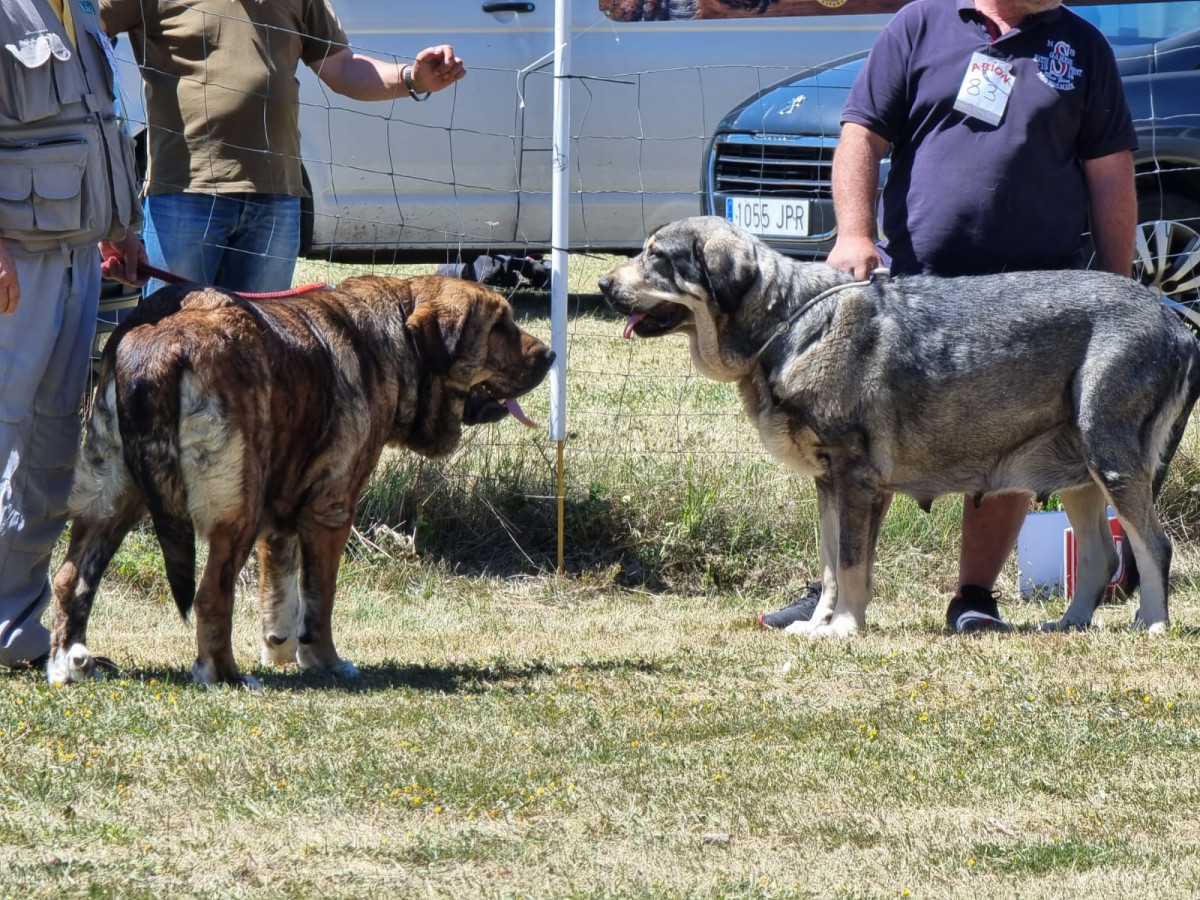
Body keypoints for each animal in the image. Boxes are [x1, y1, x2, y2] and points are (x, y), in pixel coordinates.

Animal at [600, 214, 1200, 638]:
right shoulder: (829, 485)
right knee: (1101, 556)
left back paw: (1151, 623)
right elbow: (830, 568)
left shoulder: (855, 481)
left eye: (656, 257)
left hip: (1112, 459)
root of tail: (1173, 320)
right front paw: (817, 624)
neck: (790, 322)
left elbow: (849, 565)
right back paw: (1071, 624)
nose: (604, 283)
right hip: (1081, 475)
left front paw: (843, 630)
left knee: (1153, 546)